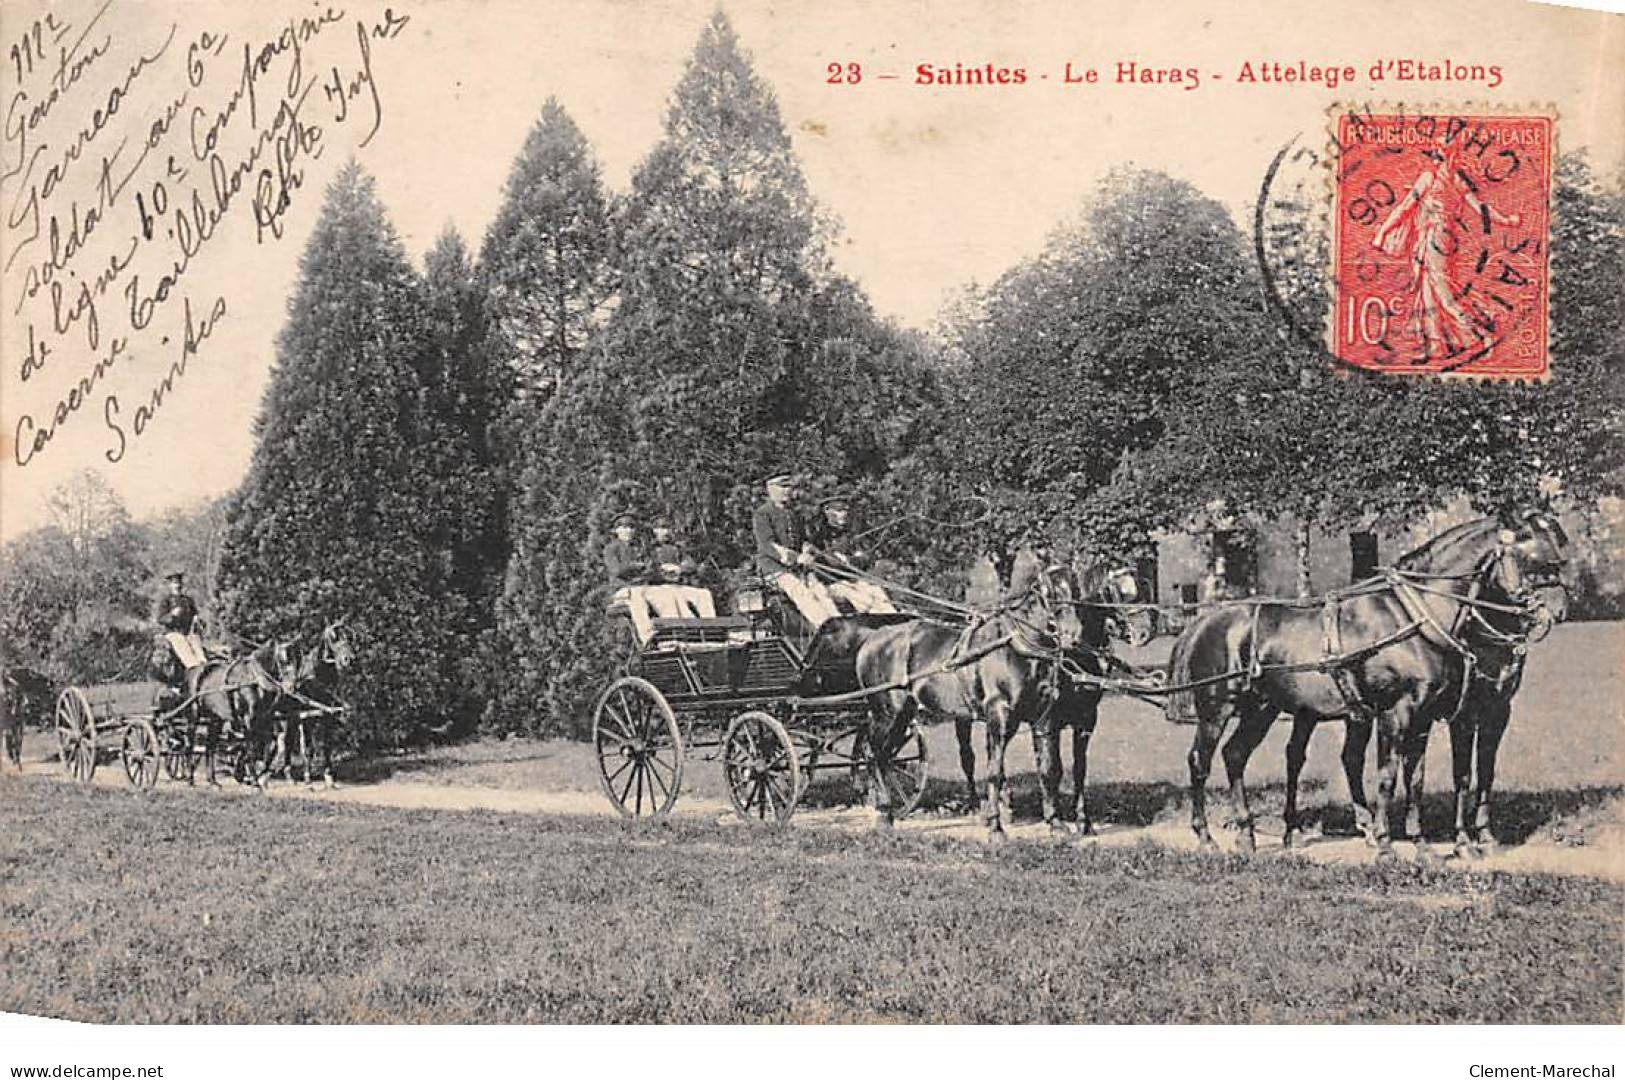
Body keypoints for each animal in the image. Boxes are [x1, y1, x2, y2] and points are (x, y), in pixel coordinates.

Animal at [858, 568, 1085, 838]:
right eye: (1050, 591)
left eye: (1077, 589)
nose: (1073, 634)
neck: (1015, 647)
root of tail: (874, 638)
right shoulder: (999, 714)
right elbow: (994, 772)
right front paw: (996, 827)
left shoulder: (1043, 718)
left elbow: (1049, 769)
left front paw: (1055, 823)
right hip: (888, 713)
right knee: (876, 755)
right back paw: (884, 813)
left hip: (902, 716)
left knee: (880, 755)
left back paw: (885, 811)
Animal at [1170, 513, 1573, 857]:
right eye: (1533, 559)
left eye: (1560, 556)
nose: (1557, 610)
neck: (1414, 616)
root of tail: (1206, 620)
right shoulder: (1399, 713)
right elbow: (1389, 776)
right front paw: (1386, 844)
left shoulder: (1428, 716)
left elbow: (1417, 778)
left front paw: (1422, 845)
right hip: (1216, 711)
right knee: (1200, 761)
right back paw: (1206, 837)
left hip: (1263, 710)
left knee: (1236, 755)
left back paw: (1247, 834)